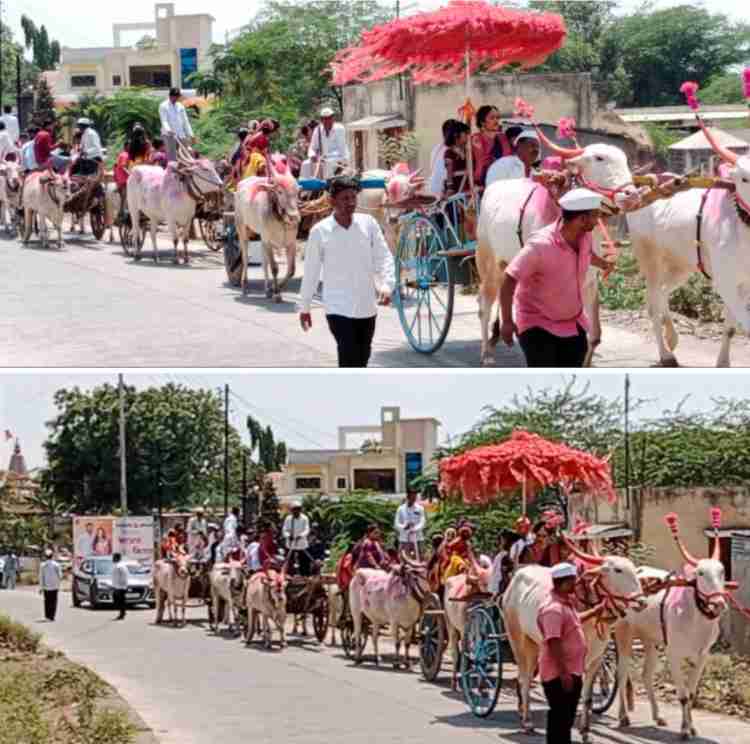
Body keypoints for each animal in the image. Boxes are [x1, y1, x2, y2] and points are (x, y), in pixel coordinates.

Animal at [238, 155, 302, 300]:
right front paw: (277, 293)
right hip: (242, 228)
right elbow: (274, 268)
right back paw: (244, 285)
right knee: (245, 257)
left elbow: (291, 270)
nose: (294, 217)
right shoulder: (268, 241)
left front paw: (273, 289)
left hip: (262, 239)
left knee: (263, 262)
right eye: (280, 191)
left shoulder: (291, 243)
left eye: (297, 191)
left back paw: (267, 289)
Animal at [506, 548, 648, 740]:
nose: (642, 602)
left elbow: (587, 697)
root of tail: (519, 574)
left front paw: (585, 730)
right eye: (617, 570)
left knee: (527, 676)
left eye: (634, 570)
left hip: (534, 643)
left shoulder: (596, 657)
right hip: (517, 639)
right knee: (524, 679)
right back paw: (527, 721)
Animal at [616, 516, 736, 740]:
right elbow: (682, 696)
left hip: (650, 640)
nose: (718, 604)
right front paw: (684, 730)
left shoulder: (702, 655)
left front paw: (691, 727)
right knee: (622, 674)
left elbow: (691, 693)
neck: (696, 617)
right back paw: (623, 716)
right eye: (701, 573)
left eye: (722, 571)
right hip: (623, 634)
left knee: (646, 675)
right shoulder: (674, 654)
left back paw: (657, 716)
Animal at [628, 129, 750, 370]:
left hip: (682, 266)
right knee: (653, 303)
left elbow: (731, 327)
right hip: (649, 257)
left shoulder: (744, 284)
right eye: (744, 177)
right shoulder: (726, 282)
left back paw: (672, 336)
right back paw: (666, 355)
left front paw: (723, 362)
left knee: (662, 293)